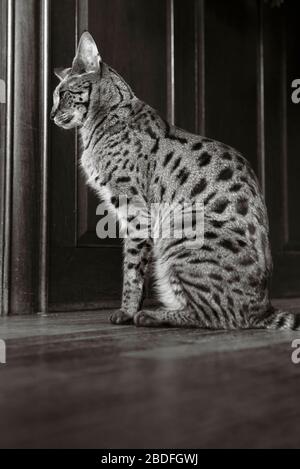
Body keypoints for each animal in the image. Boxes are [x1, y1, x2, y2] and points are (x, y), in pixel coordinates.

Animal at [50, 30, 298, 330]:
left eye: (62, 95)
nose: (50, 115)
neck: (100, 123)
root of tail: (264, 306)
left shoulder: (135, 210)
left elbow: (132, 269)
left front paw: (127, 311)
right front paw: (132, 308)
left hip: (179, 234)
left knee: (220, 316)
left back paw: (152, 316)